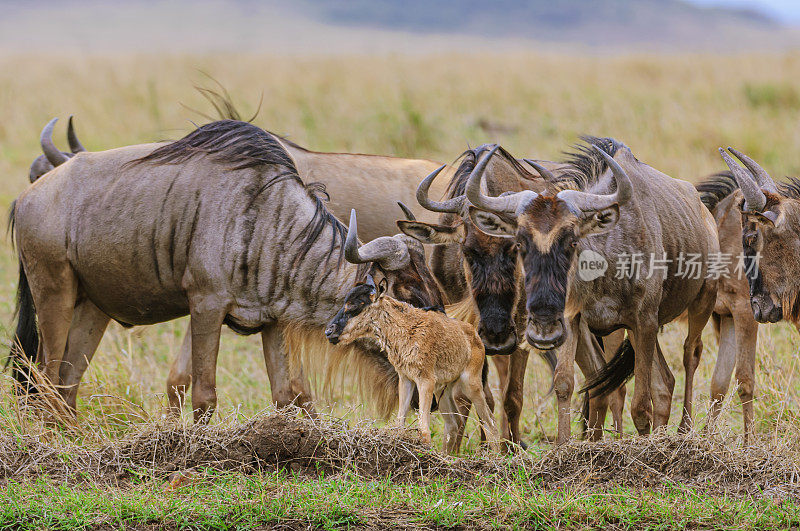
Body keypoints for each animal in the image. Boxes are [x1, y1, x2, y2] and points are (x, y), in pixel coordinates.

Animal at [324, 276, 500, 456]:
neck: (407, 328)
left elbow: (424, 430)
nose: (329, 332)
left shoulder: (425, 381)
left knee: (490, 422)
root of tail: (476, 337)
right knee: (454, 423)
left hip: (471, 385)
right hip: (443, 390)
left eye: (354, 305)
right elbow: (400, 423)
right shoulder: (406, 380)